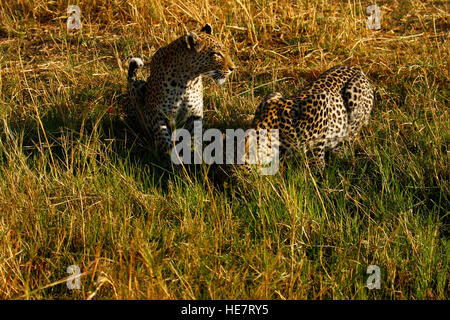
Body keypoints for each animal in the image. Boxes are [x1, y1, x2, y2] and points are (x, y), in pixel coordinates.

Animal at [125, 23, 234, 153]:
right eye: (217, 54)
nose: (233, 68)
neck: (187, 82)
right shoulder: (157, 114)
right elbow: (164, 140)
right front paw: (173, 156)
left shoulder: (196, 115)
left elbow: (197, 138)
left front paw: (198, 154)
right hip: (138, 88)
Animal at [244, 63, 374, 171]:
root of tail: (356, 68)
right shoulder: (273, 95)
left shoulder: (321, 101)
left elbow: (318, 149)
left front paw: (320, 171)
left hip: (354, 95)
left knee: (353, 134)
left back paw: (340, 150)